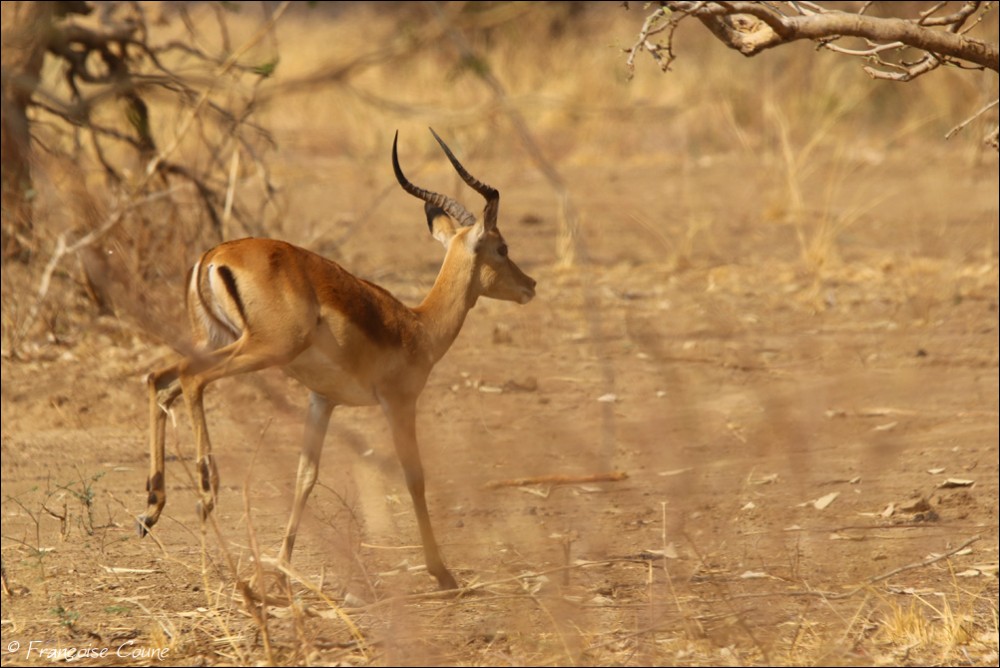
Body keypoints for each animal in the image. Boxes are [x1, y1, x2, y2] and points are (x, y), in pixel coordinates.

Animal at [137, 129, 537, 591]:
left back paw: (151, 507)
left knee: (158, 378)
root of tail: (214, 256)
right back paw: (205, 492)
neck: (418, 327)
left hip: (214, 340)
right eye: (502, 247)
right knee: (190, 378)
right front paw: (442, 573)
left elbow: (305, 476)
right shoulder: (398, 402)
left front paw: (282, 568)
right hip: (261, 348)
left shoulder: (322, 399)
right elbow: (414, 476)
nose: (530, 285)